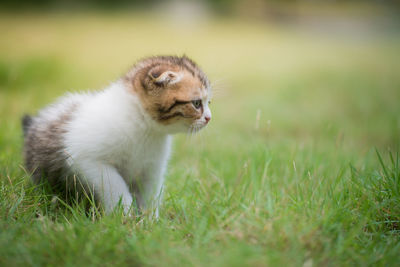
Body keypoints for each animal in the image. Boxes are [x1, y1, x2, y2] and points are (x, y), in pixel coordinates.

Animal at [21, 55, 212, 218]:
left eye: (208, 102)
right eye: (196, 103)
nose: (209, 118)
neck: (144, 127)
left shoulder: (151, 169)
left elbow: (150, 195)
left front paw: (150, 222)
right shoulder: (87, 159)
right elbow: (115, 186)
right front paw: (124, 217)